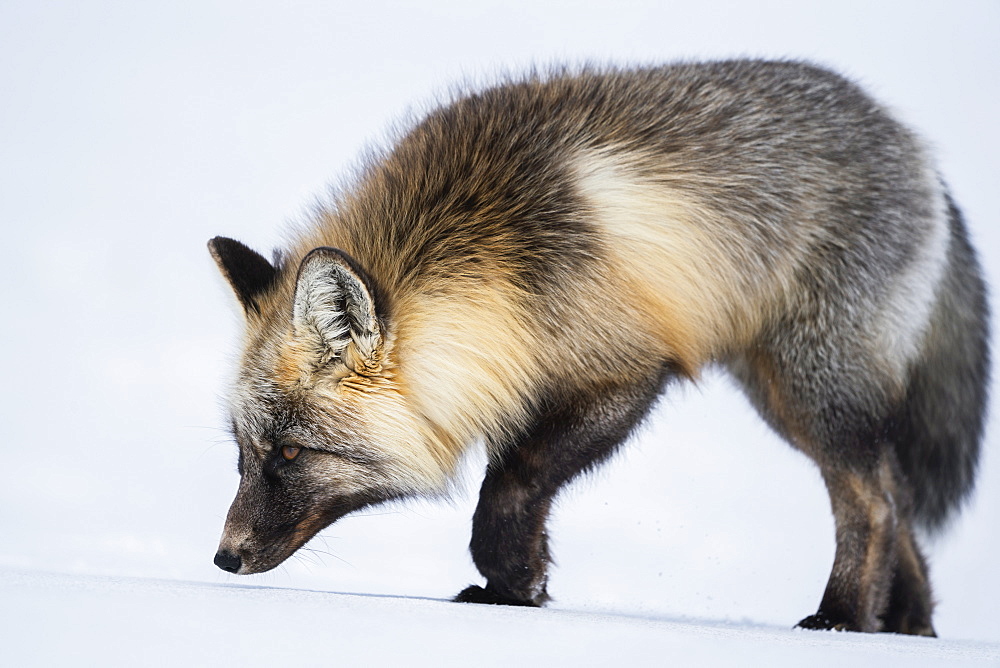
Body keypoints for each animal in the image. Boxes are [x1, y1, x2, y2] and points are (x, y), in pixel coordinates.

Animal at [207, 60, 988, 636]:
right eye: (242, 451)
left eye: (292, 453)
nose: (222, 558)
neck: (497, 255)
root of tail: (915, 144)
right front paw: (513, 590)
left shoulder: (627, 371)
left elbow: (510, 487)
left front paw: (514, 584)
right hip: (781, 396)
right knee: (897, 493)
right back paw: (908, 624)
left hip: (814, 387)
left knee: (873, 500)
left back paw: (843, 616)